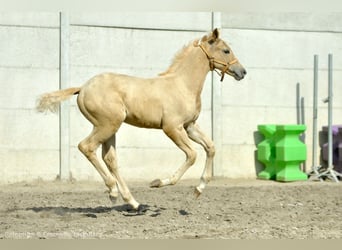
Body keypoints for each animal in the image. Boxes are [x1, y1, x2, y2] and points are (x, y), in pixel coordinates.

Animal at [36, 28, 246, 212]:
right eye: (226, 50)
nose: (242, 72)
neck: (182, 85)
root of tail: (82, 88)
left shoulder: (189, 126)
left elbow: (211, 147)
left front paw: (198, 189)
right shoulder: (172, 128)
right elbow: (192, 155)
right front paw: (158, 182)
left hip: (110, 128)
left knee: (110, 159)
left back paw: (133, 202)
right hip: (107, 125)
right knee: (86, 147)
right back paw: (113, 191)